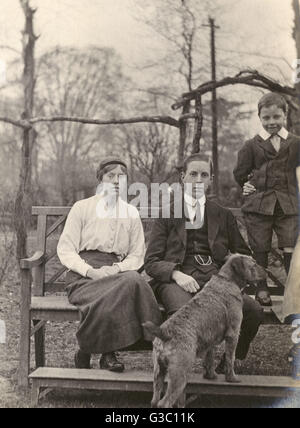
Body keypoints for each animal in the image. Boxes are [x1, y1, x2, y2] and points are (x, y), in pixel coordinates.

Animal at [144, 254, 268, 408]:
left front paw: (211, 376)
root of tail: (164, 333)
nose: (267, 272)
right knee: (165, 402)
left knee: (155, 399)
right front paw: (231, 378)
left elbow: (209, 358)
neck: (226, 280)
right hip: (179, 374)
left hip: (158, 373)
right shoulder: (233, 334)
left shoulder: (210, 340)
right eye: (254, 264)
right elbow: (230, 358)